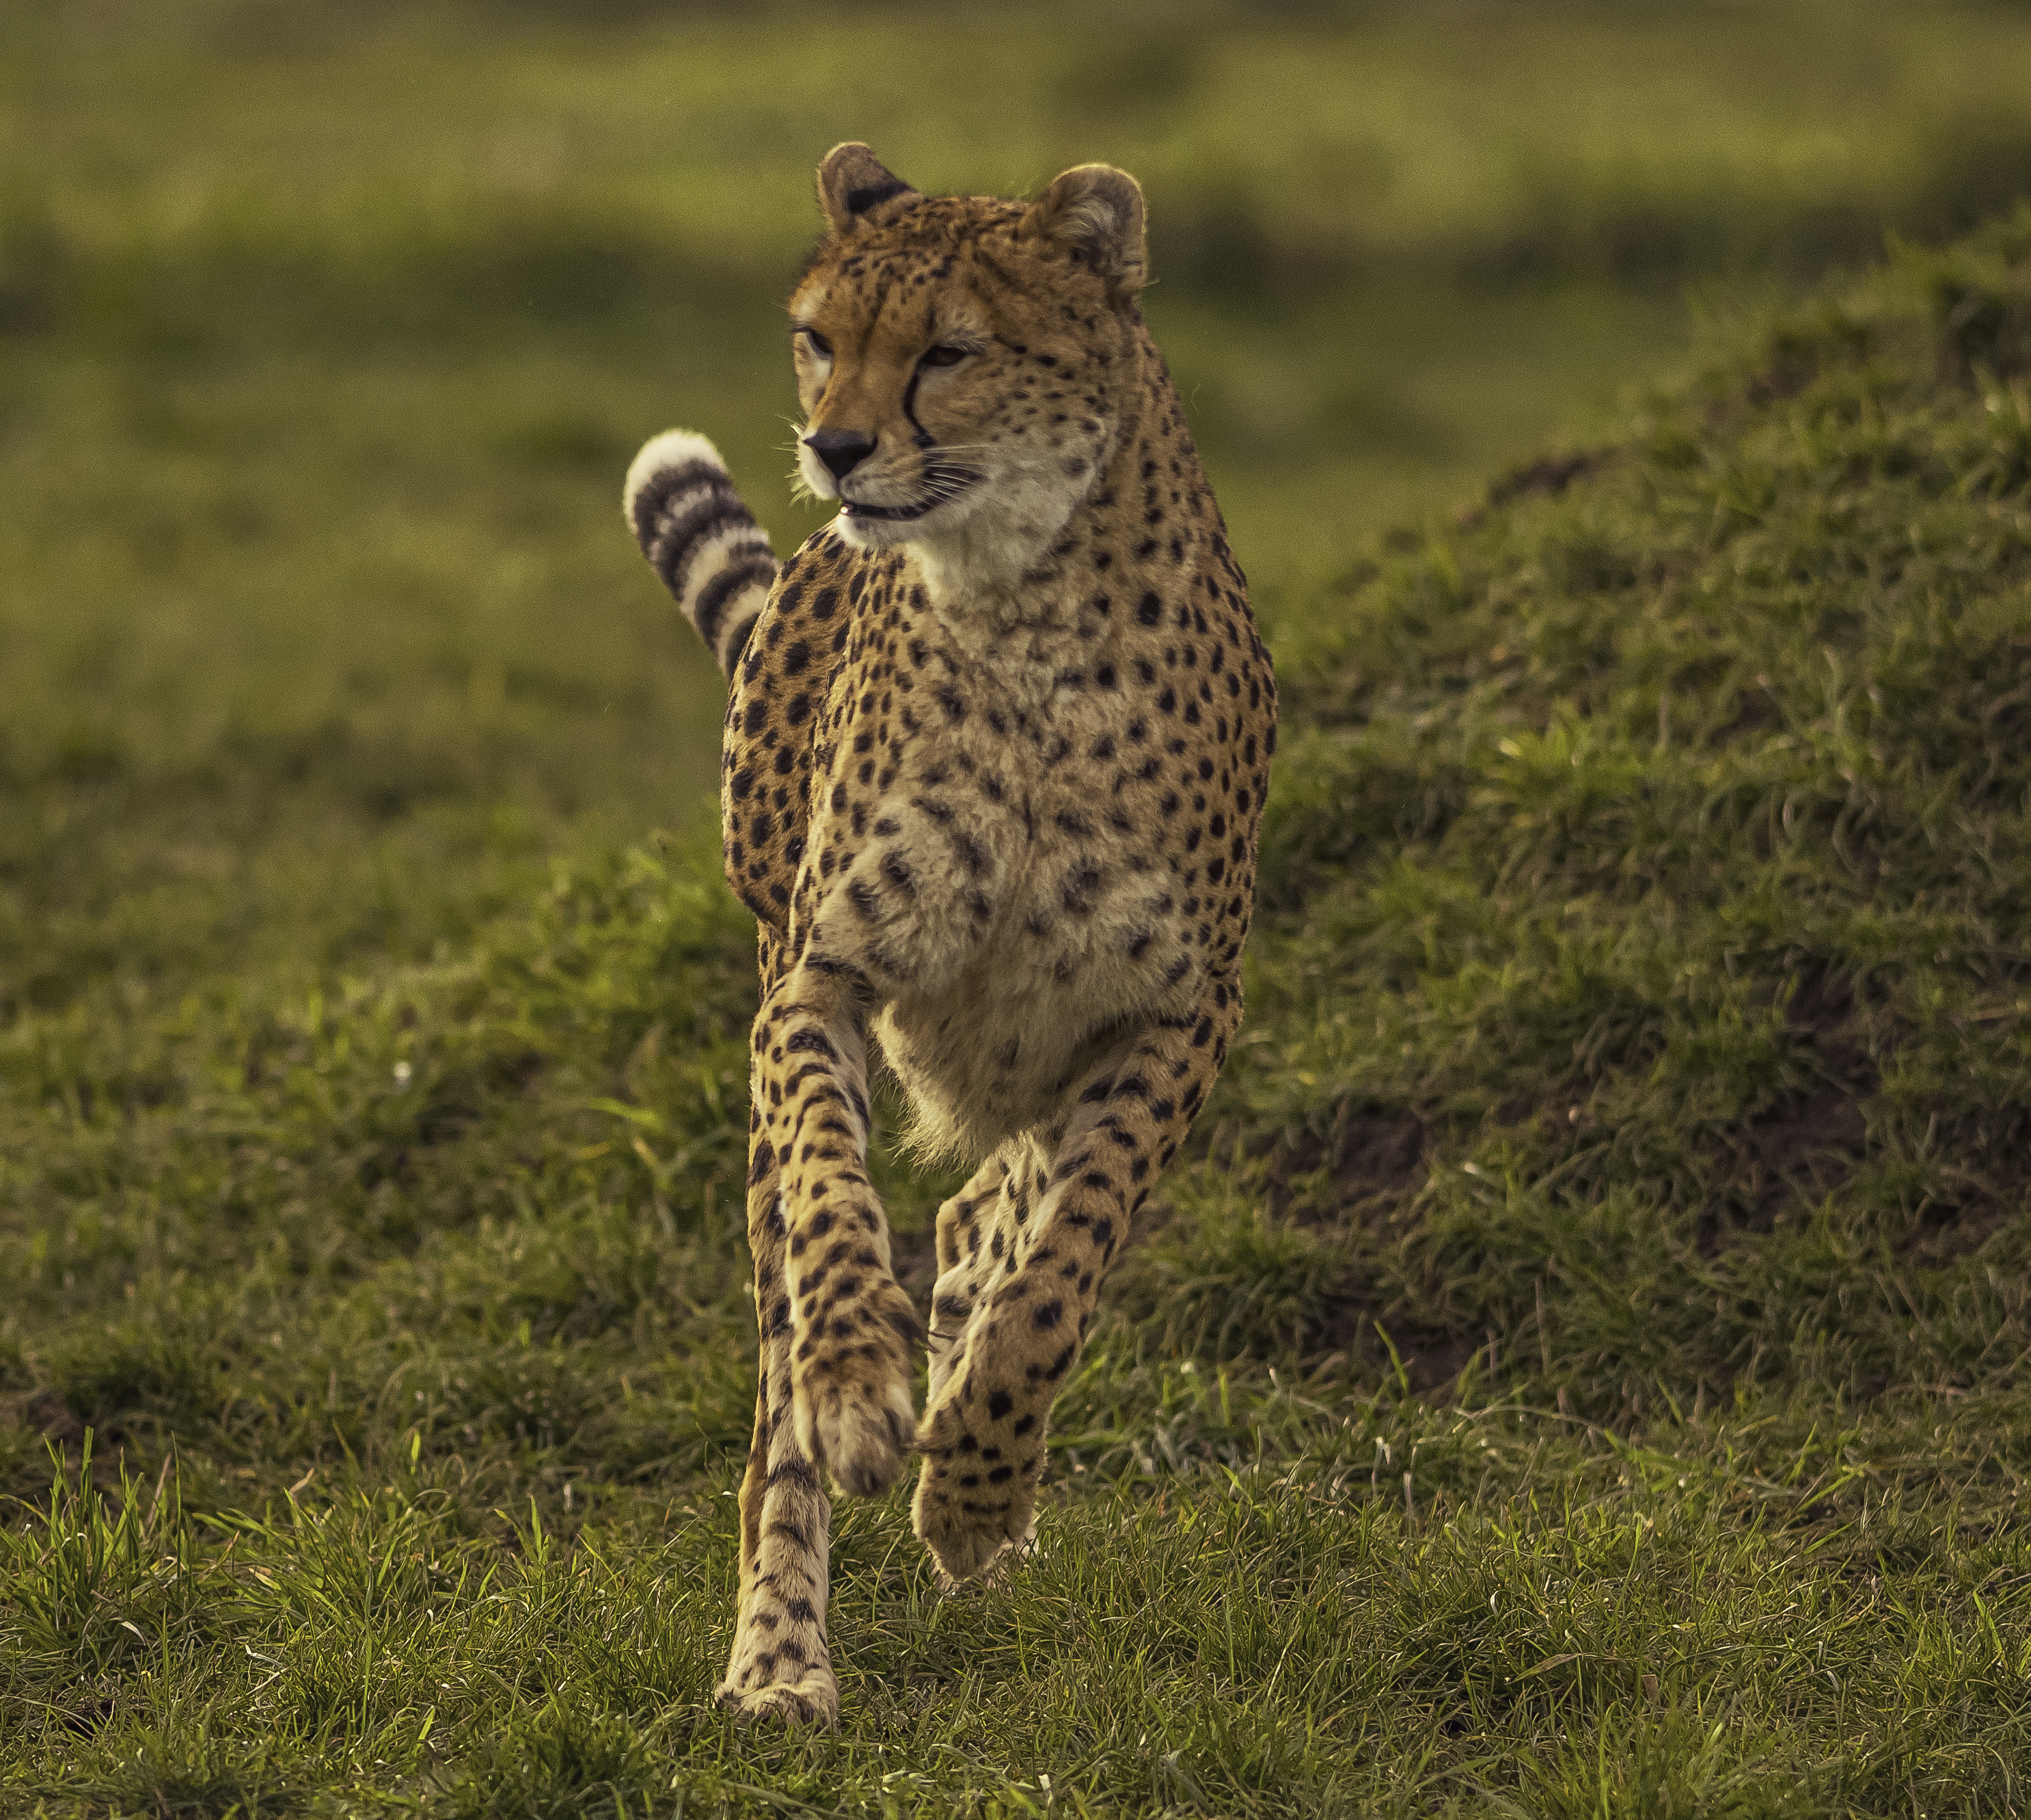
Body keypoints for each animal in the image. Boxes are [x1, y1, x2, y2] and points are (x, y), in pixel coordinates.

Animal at [623, 142, 1276, 1726]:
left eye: (949, 351)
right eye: (817, 337)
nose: (837, 446)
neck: (1021, 605)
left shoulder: (1176, 1019)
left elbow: (1063, 1269)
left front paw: (977, 1485)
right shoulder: (820, 979)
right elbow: (834, 1200)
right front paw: (866, 1388)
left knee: (992, 1210)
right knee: (780, 1382)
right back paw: (778, 1655)